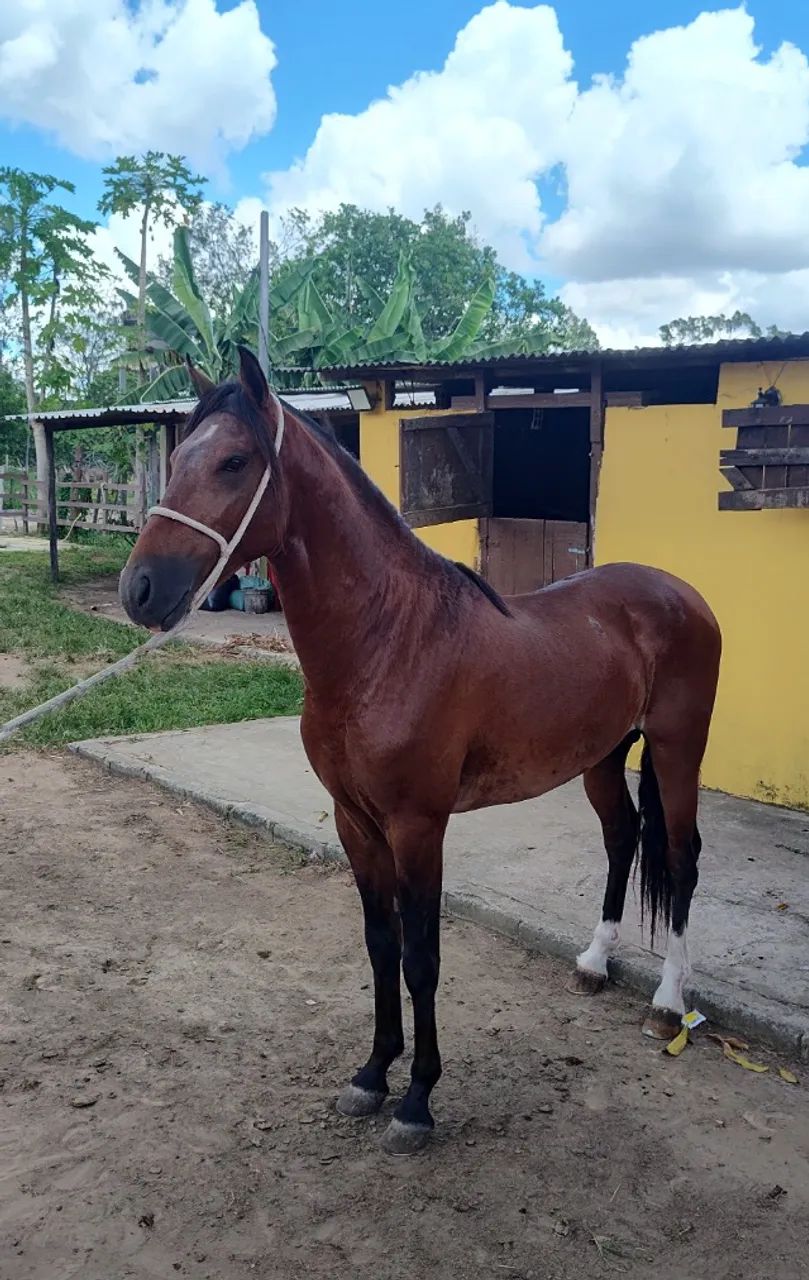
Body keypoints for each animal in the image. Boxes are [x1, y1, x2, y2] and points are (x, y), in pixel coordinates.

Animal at [119, 348, 721, 1156]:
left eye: (233, 462)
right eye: (179, 456)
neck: (387, 643)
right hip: (601, 756)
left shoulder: (417, 827)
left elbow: (421, 957)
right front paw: (373, 1074)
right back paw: (594, 962)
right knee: (623, 837)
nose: (141, 590)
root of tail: (679, 593)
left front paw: (417, 1101)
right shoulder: (356, 822)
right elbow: (380, 946)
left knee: (681, 859)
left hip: (677, 747)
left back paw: (665, 999)